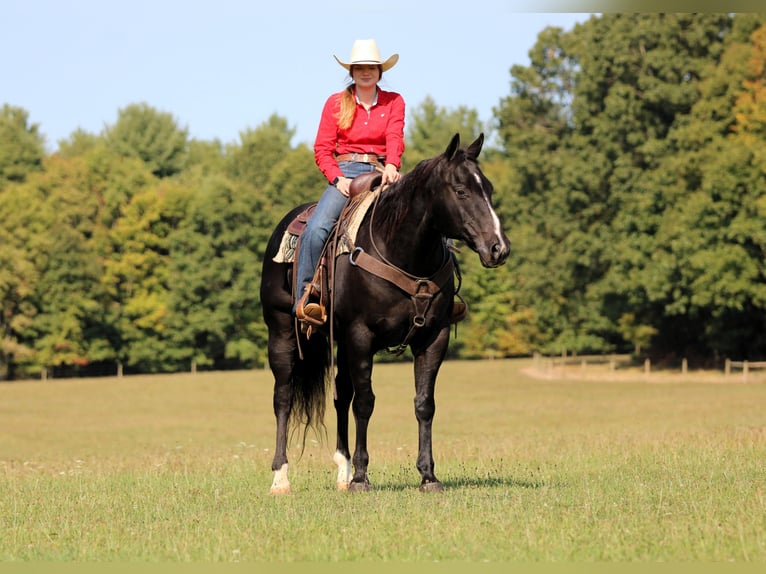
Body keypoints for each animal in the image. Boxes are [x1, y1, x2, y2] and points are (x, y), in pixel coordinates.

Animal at [259, 133, 510, 494]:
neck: (402, 251)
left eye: (488, 188)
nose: (498, 248)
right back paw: (281, 477)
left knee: (341, 395)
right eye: (461, 190)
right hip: (281, 332)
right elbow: (365, 402)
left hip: (341, 343)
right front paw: (362, 477)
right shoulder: (361, 335)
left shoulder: (433, 337)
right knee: (283, 397)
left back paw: (343, 471)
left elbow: (424, 403)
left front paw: (428, 476)